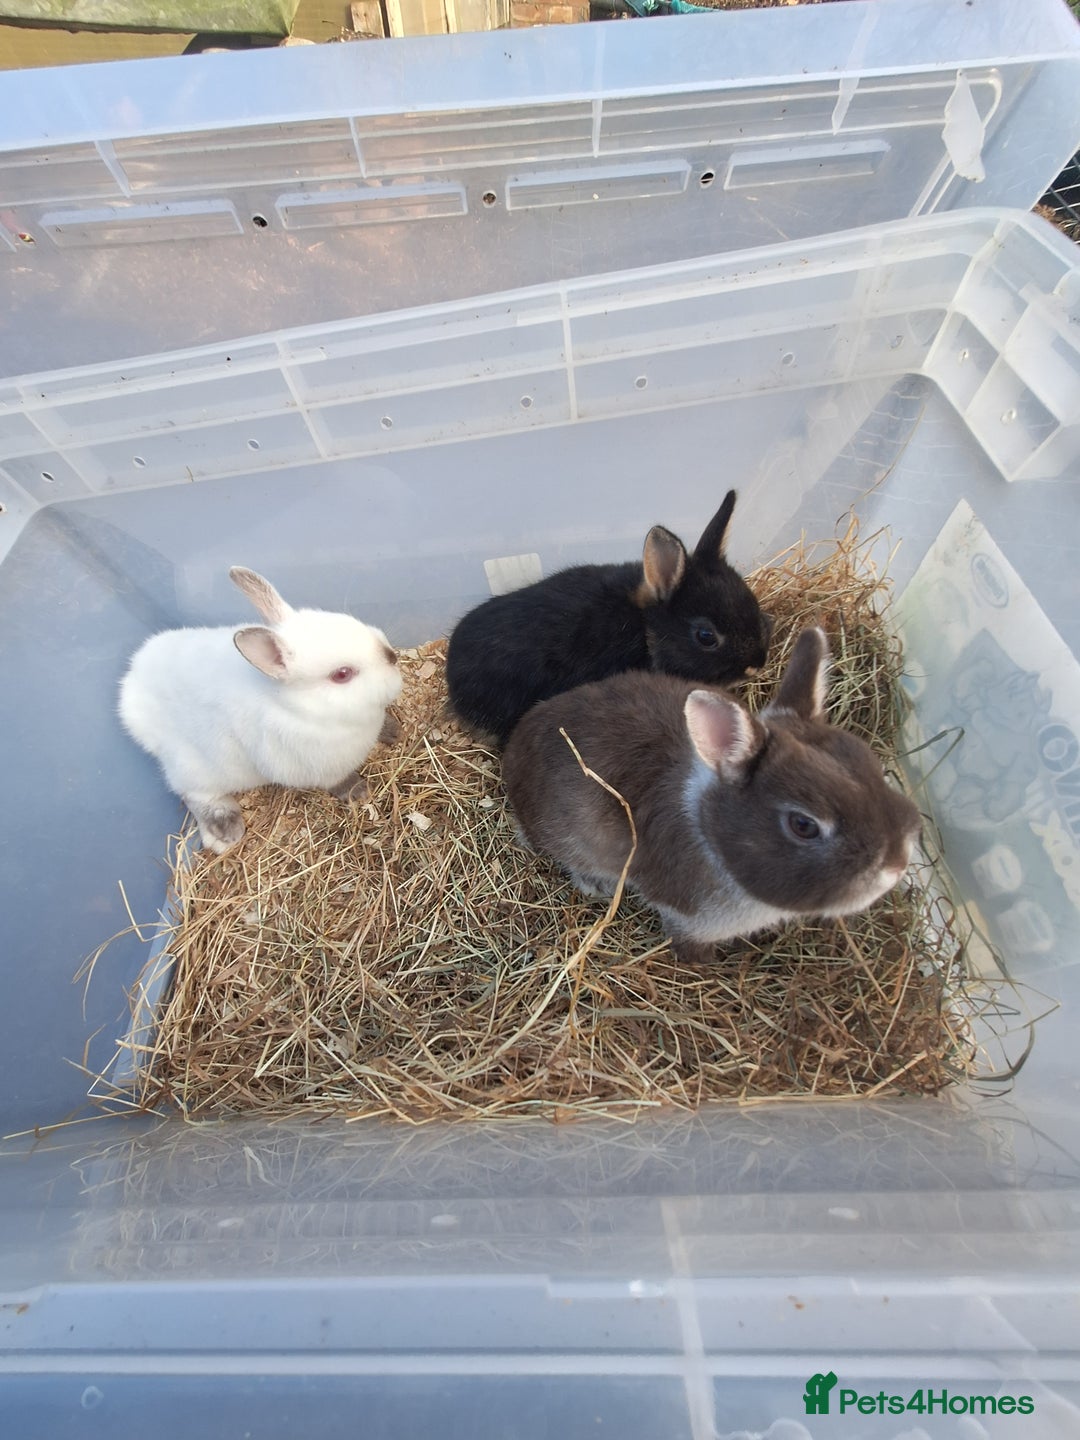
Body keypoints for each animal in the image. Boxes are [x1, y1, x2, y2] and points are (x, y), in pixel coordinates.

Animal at [119, 566, 402, 854]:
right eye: (342, 674)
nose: (392, 656)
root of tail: (129, 694)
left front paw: (394, 731)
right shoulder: (318, 767)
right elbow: (338, 781)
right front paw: (360, 792)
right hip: (194, 769)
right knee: (192, 794)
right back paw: (225, 830)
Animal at [501, 627, 922, 964]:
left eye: (871, 765)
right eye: (803, 825)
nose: (897, 865)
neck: (711, 832)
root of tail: (514, 749)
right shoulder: (687, 915)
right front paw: (703, 963)